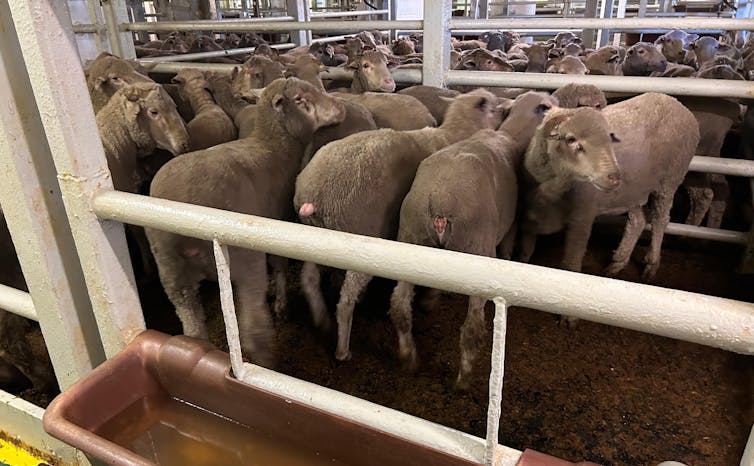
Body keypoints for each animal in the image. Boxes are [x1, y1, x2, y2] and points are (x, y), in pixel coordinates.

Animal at [144, 78, 344, 366]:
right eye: (300, 98)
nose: (341, 107)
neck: (275, 147)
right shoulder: (277, 222)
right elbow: (280, 264)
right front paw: (282, 304)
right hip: (244, 258)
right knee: (255, 328)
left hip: (173, 277)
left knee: (192, 327)